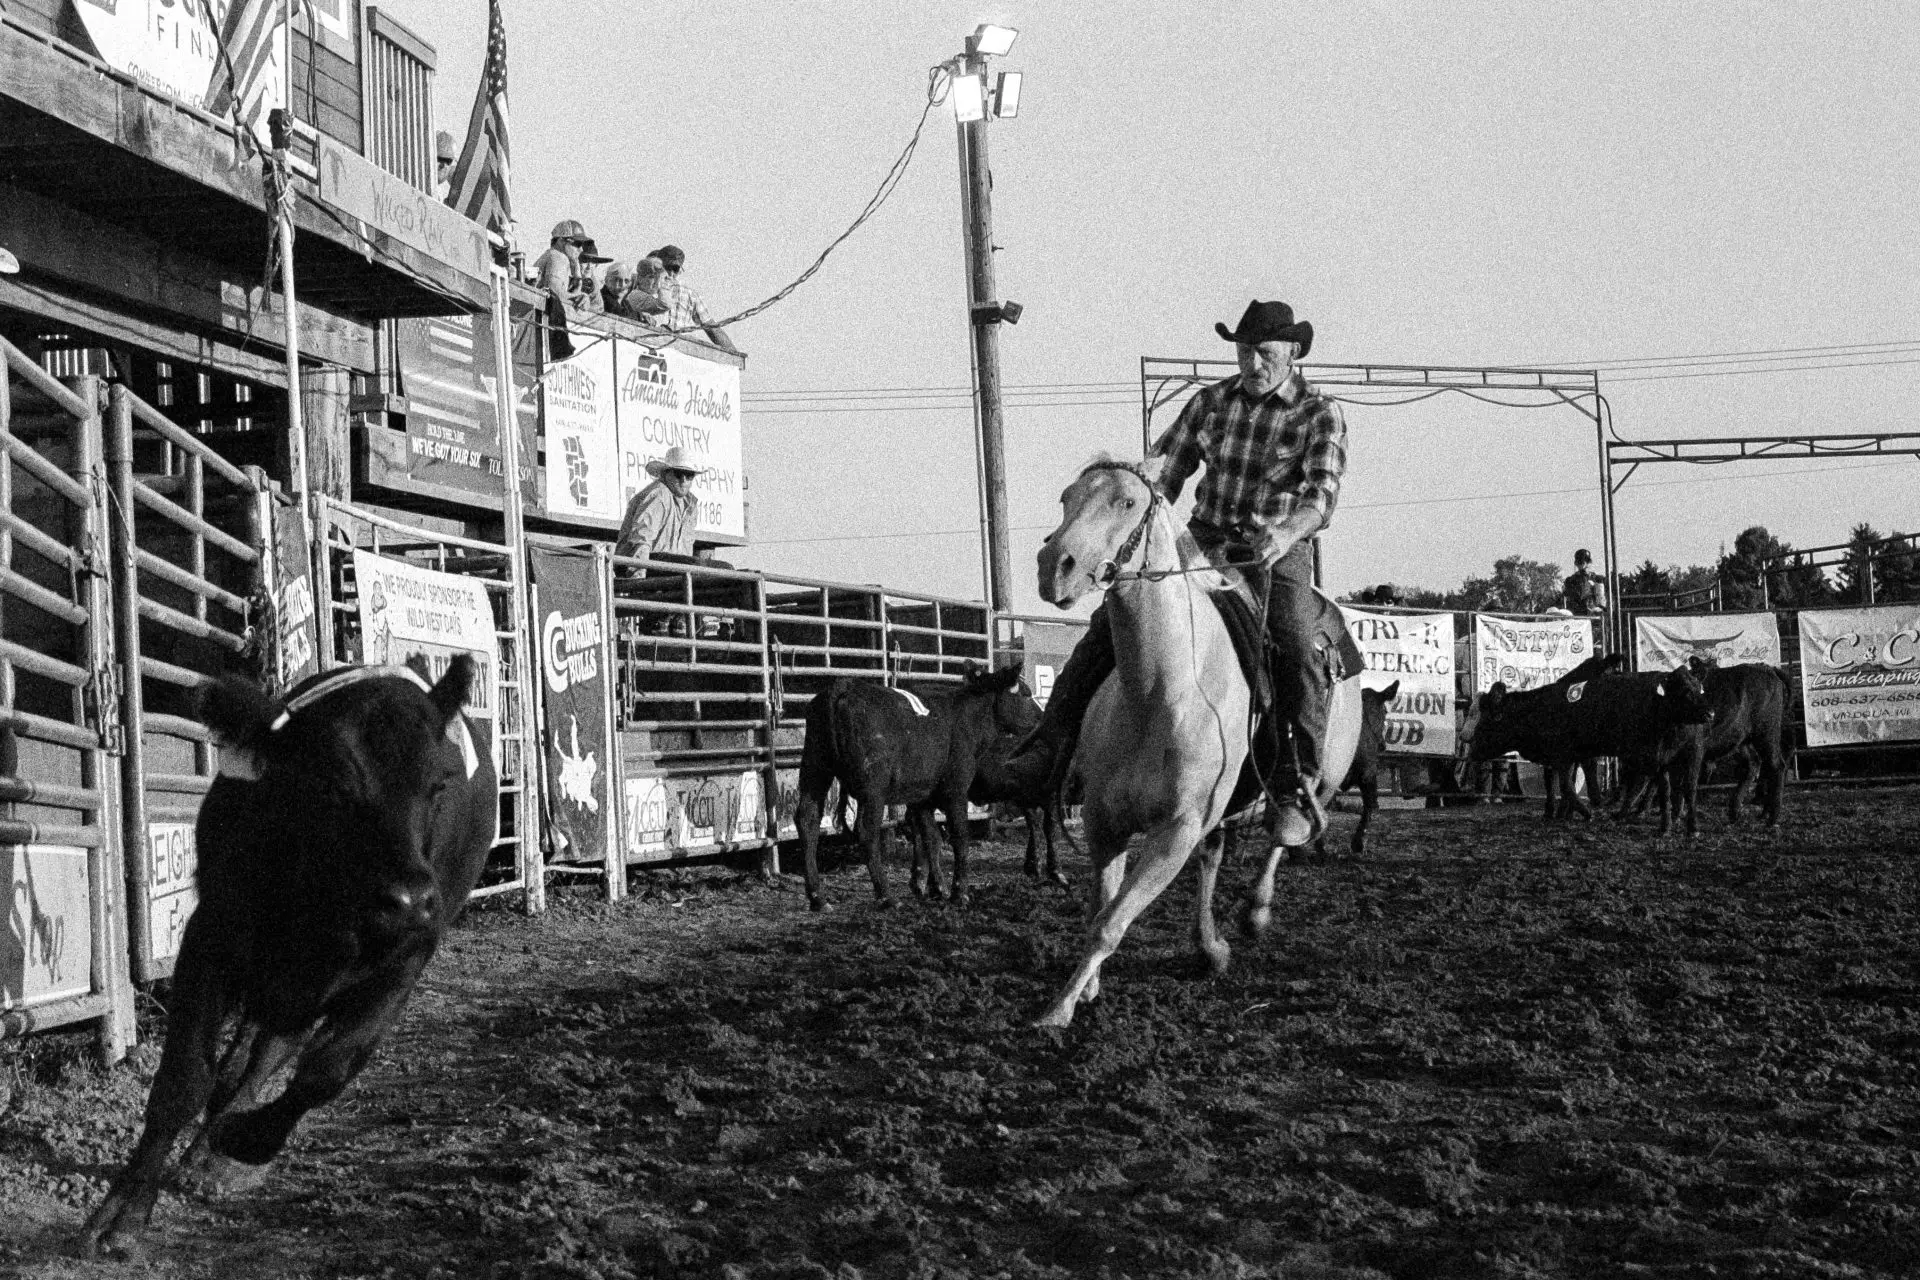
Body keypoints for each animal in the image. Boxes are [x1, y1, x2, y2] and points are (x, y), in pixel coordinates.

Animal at [1036, 460, 1367, 1028]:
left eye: (1126, 502)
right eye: (1065, 498)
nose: (1055, 565)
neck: (1159, 692)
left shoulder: (1176, 829)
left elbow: (1110, 923)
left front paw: (1058, 1009)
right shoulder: (1106, 823)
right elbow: (1101, 909)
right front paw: (1086, 990)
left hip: (1320, 783)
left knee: (1284, 833)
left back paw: (1255, 911)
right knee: (1213, 858)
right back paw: (1209, 947)